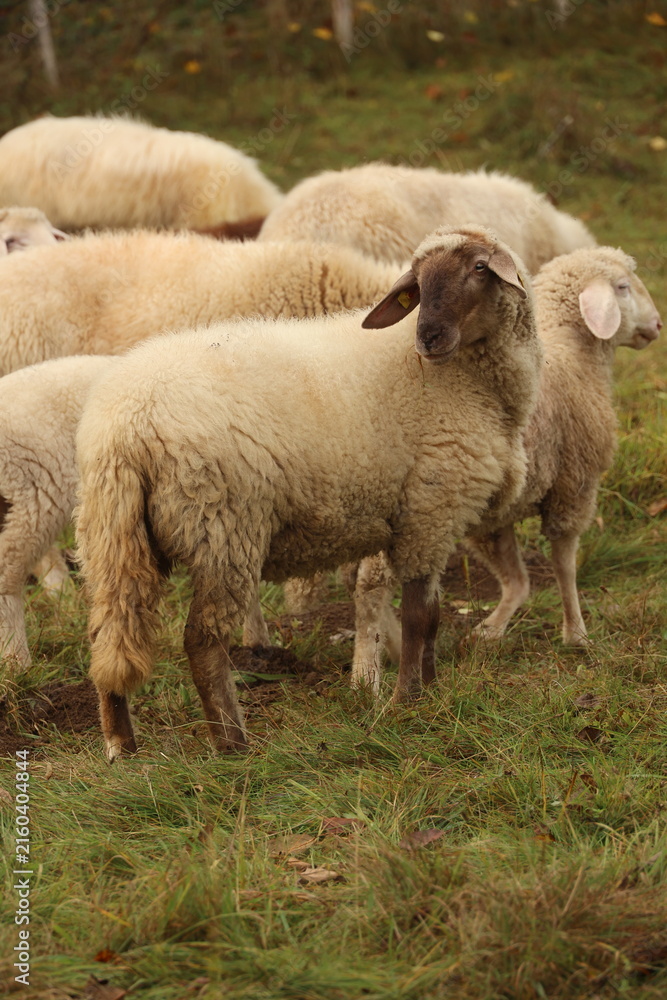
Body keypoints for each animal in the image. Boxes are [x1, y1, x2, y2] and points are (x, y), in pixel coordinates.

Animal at [75, 225, 542, 760]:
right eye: (418, 282)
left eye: (480, 268)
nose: (428, 337)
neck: (469, 384)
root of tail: (124, 426)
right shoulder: (430, 510)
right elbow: (420, 616)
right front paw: (408, 700)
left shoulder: (428, 519)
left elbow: (433, 615)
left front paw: (429, 688)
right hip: (222, 527)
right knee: (202, 640)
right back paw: (232, 743)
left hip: (112, 537)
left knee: (110, 636)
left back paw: (122, 746)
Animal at [348, 246, 662, 690]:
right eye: (622, 287)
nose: (656, 325)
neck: (573, 352)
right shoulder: (574, 487)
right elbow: (563, 566)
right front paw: (577, 634)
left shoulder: (497, 516)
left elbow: (517, 579)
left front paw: (490, 630)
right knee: (374, 585)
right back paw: (368, 673)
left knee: (368, 584)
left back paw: (374, 662)